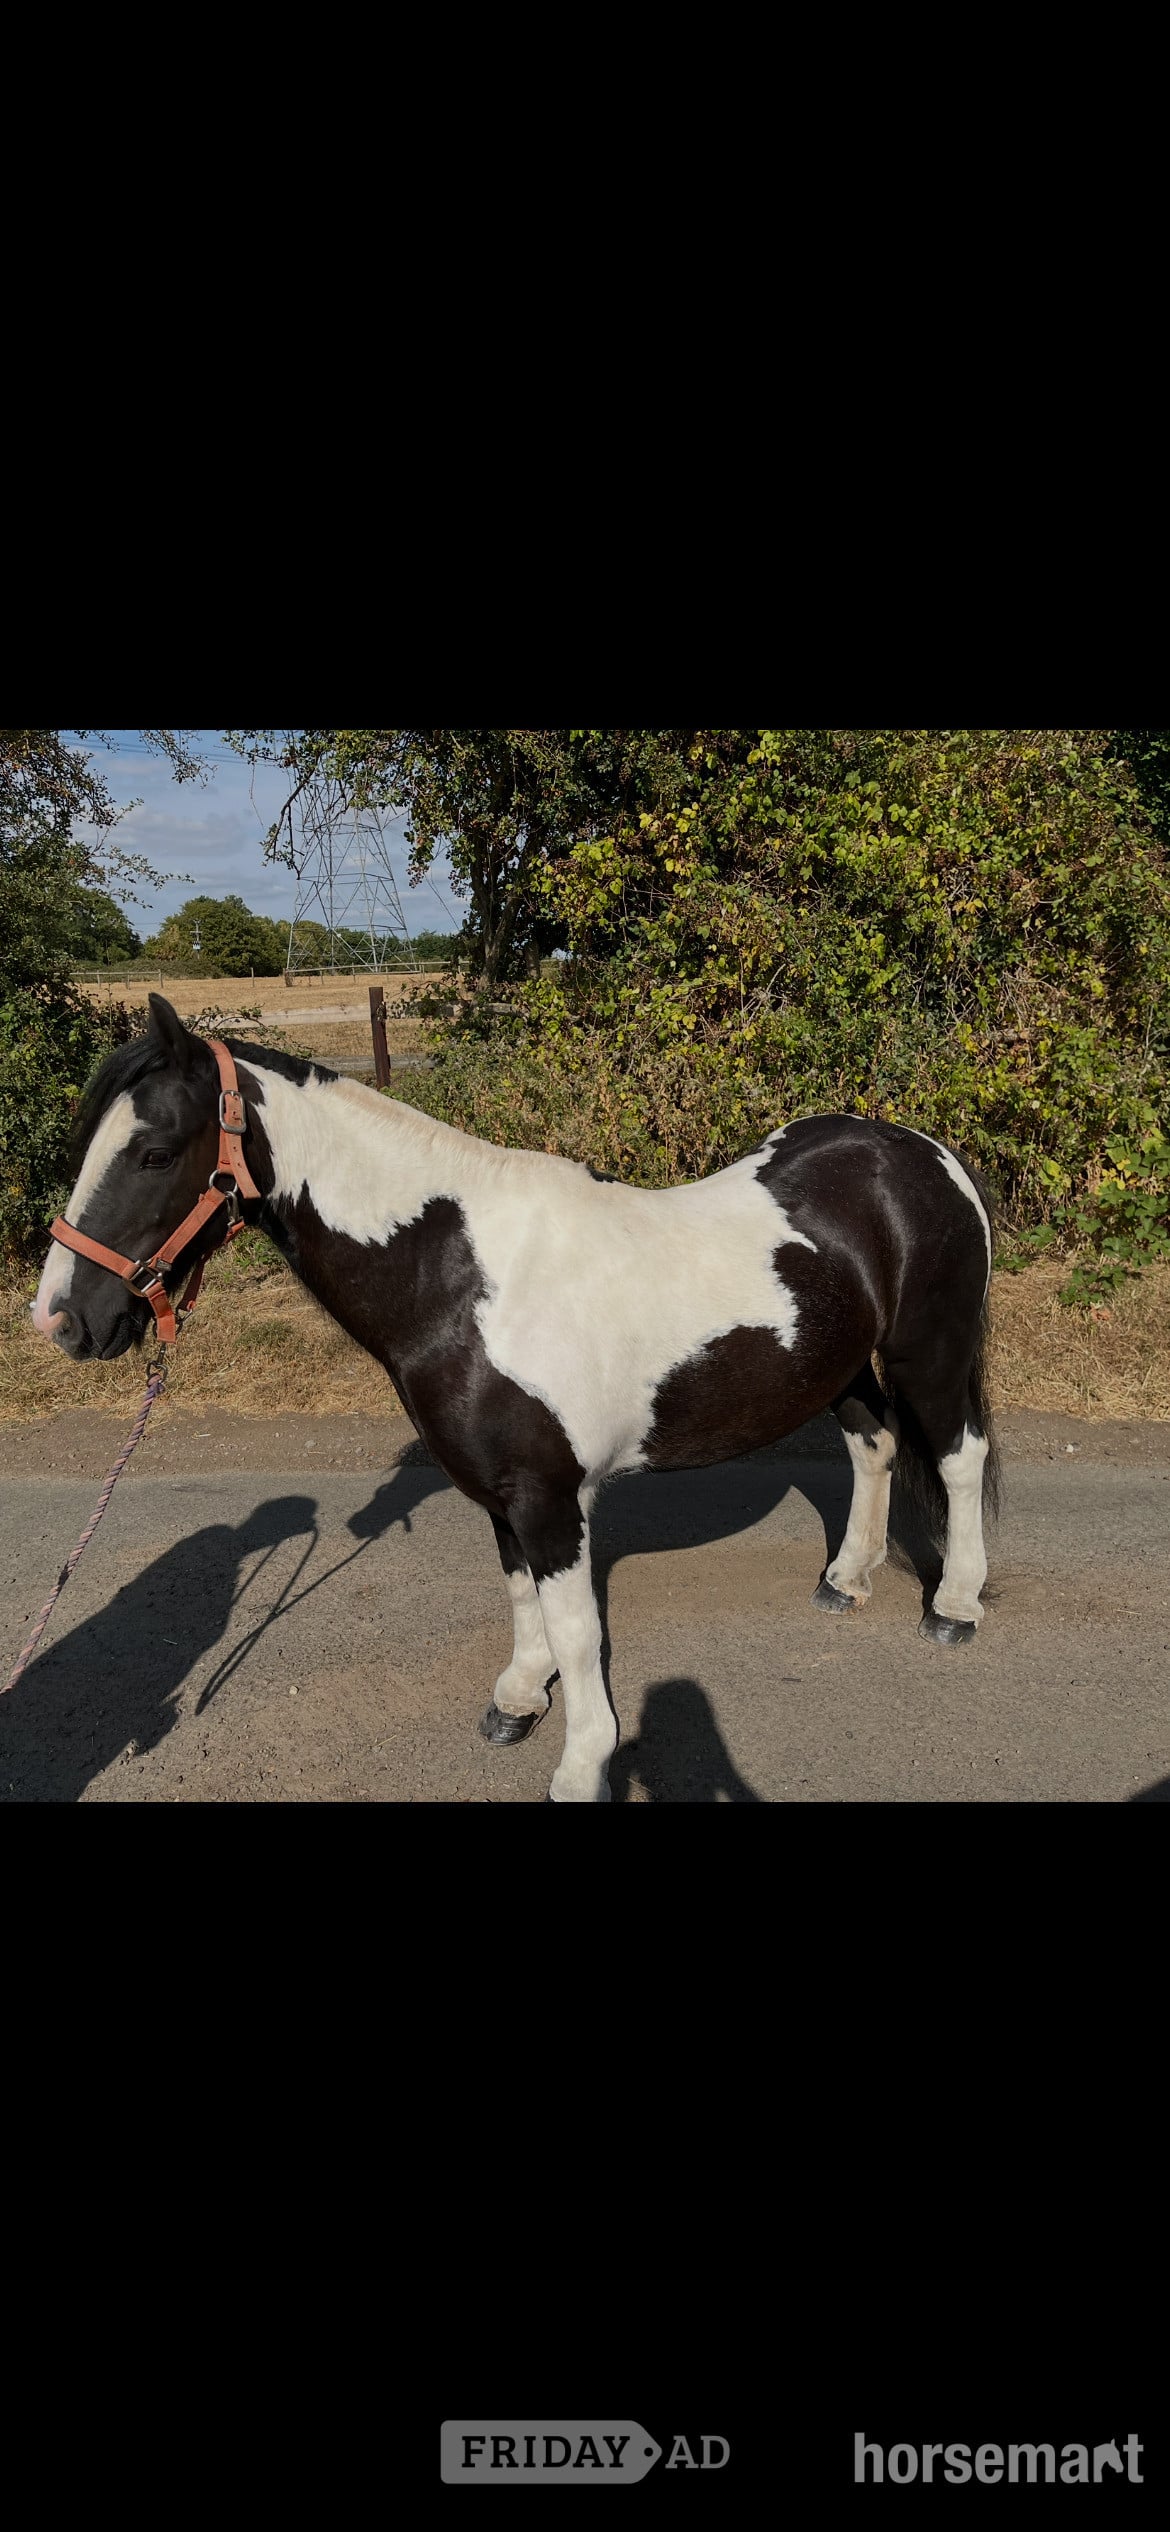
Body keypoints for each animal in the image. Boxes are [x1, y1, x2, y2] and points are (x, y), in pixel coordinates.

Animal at [31, 994, 999, 1802]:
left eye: (155, 1152)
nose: (63, 1320)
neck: (460, 1283)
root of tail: (922, 1154)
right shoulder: (499, 1493)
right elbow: (522, 1596)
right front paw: (519, 1701)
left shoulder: (546, 1495)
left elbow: (575, 1628)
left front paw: (581, 1763)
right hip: (841, 1365)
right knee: (874, 1445)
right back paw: (847, 1579)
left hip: (929, 1353)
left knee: (958, 1458)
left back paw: (955, 1604)